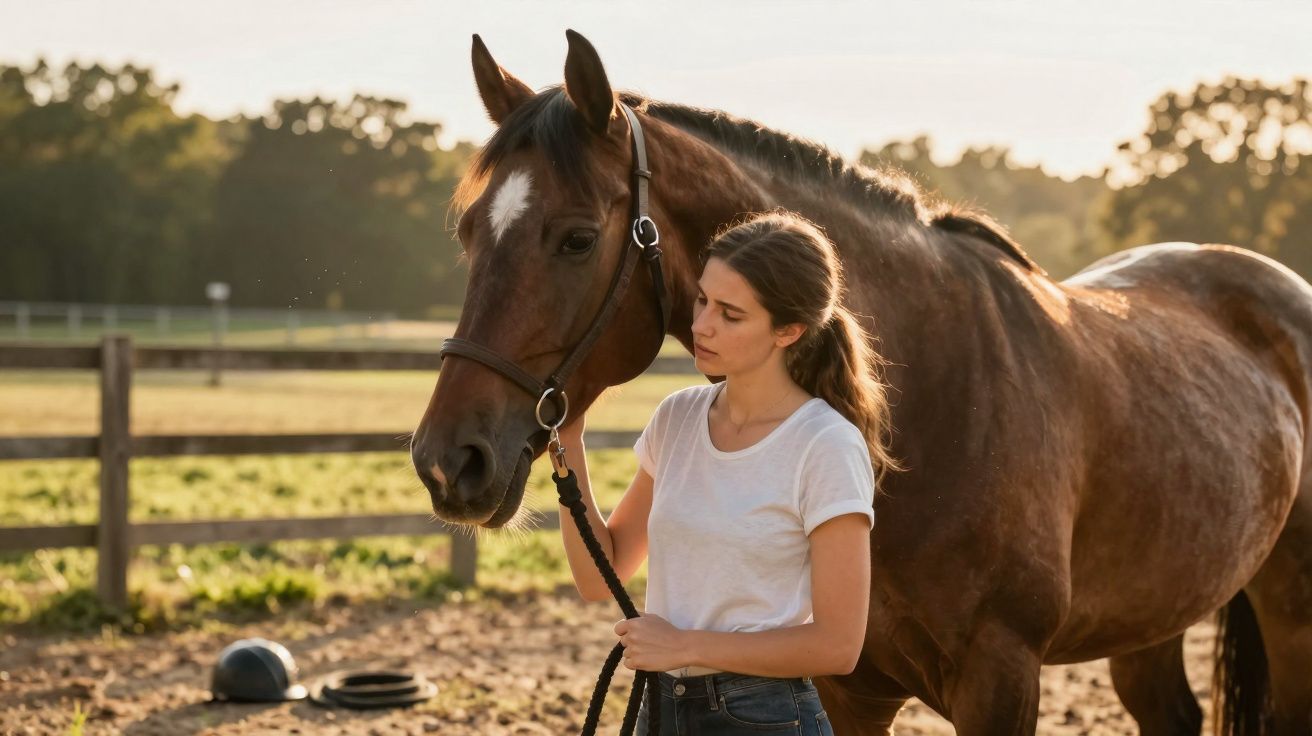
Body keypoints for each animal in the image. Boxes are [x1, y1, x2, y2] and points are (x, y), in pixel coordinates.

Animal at [410, 30, 1312, 734]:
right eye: (467, 231)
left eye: (574, 238)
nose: (446, 462)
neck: (930, 407)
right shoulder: (848, 689)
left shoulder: (1001, 677)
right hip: (1152, 611)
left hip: (1289, 610)